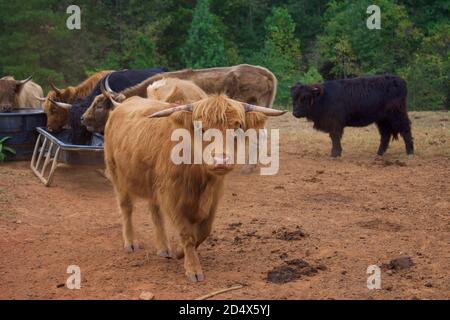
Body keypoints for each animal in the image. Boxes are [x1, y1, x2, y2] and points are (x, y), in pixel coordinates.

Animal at [103, 91, 284, 282]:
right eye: (201, 128)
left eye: (238, 127)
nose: (220, 161)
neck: (199, 178)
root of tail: (123, 104)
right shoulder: (172, 197)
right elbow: (187, 234)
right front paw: (193, 269)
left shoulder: (213, 198)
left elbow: (204, 231)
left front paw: (178, 252)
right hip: (117, 174)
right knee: (126, 208)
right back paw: (130, 243)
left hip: (152, 183)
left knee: (155, 213)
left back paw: (164, 248)